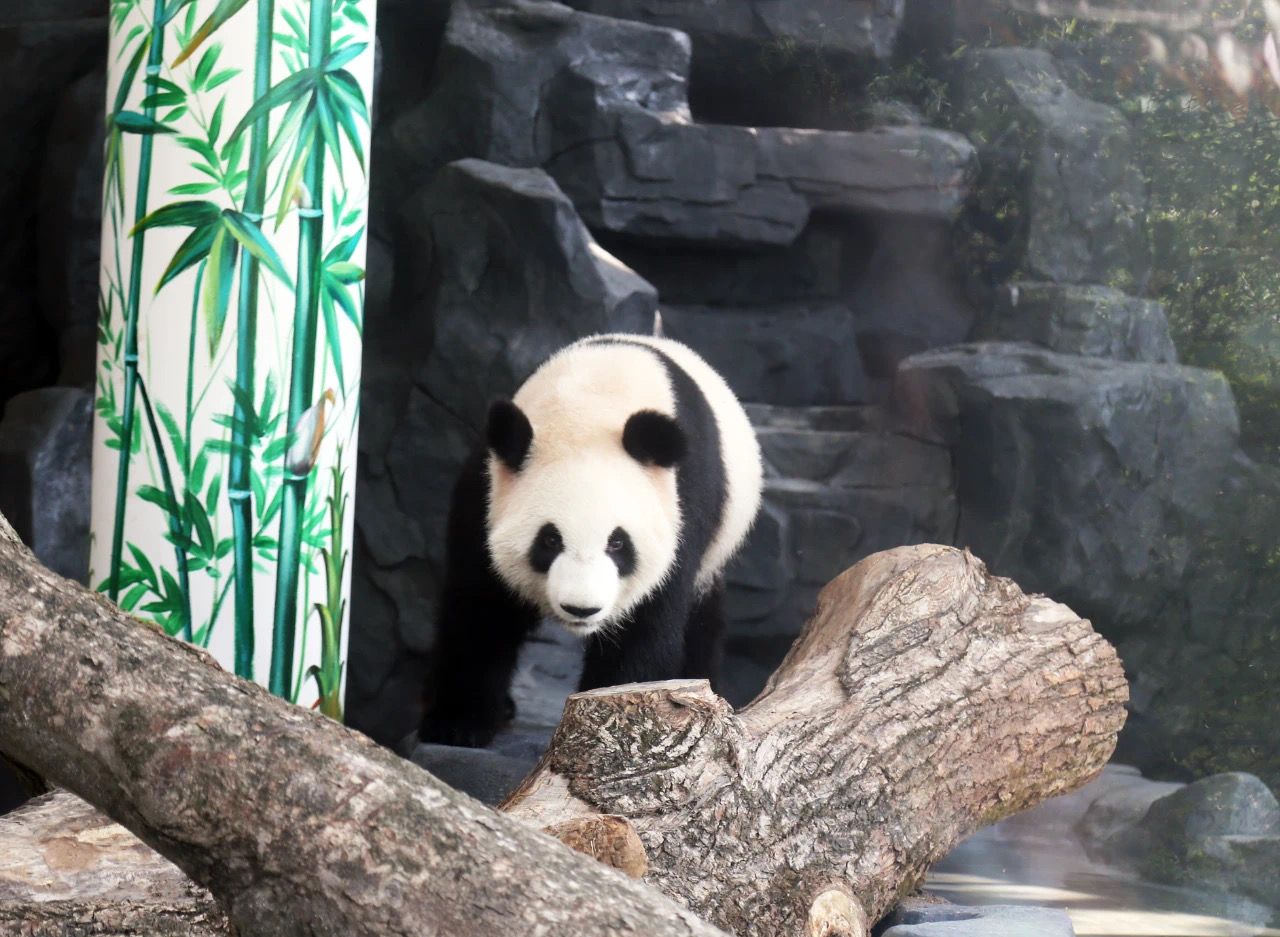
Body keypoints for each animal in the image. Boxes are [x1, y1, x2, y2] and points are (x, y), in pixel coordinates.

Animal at [417, 332, 757, 752]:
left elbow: (643, 626)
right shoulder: (487, 489)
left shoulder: (681, 507)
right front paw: (457, 724)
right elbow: (481, 609)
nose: (581, 609)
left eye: (618, 544)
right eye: (549, 540)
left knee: (702, 617)